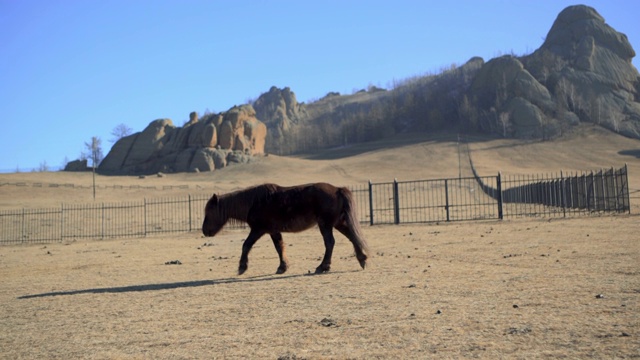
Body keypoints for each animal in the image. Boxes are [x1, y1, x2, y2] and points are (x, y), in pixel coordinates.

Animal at [200, 183, 370, 276]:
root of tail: (338, 189)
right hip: (338, 223)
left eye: (209, 212)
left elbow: (246, 245)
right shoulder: (273, 231)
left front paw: (242, 267)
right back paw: (362, 259)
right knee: (352, 237)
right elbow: (279, 247)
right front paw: (283, 267)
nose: (204, 231)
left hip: (326, 225)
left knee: (330, 243)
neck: (254, 202)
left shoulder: (258, 230)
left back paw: (322, 267)